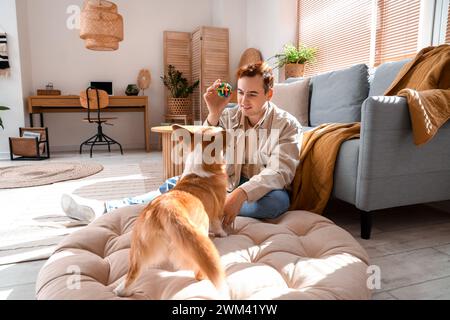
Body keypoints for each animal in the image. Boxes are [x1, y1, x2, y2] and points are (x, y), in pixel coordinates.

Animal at [115, 125, 229, 298]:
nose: (226, 129)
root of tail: (165, 209)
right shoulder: (217, 211)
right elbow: (218, 225)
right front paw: (223, 233)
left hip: (138, 251)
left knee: (131, 274)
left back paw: (123, 290)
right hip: (198, 238)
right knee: (199, 270)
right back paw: (204, 277)